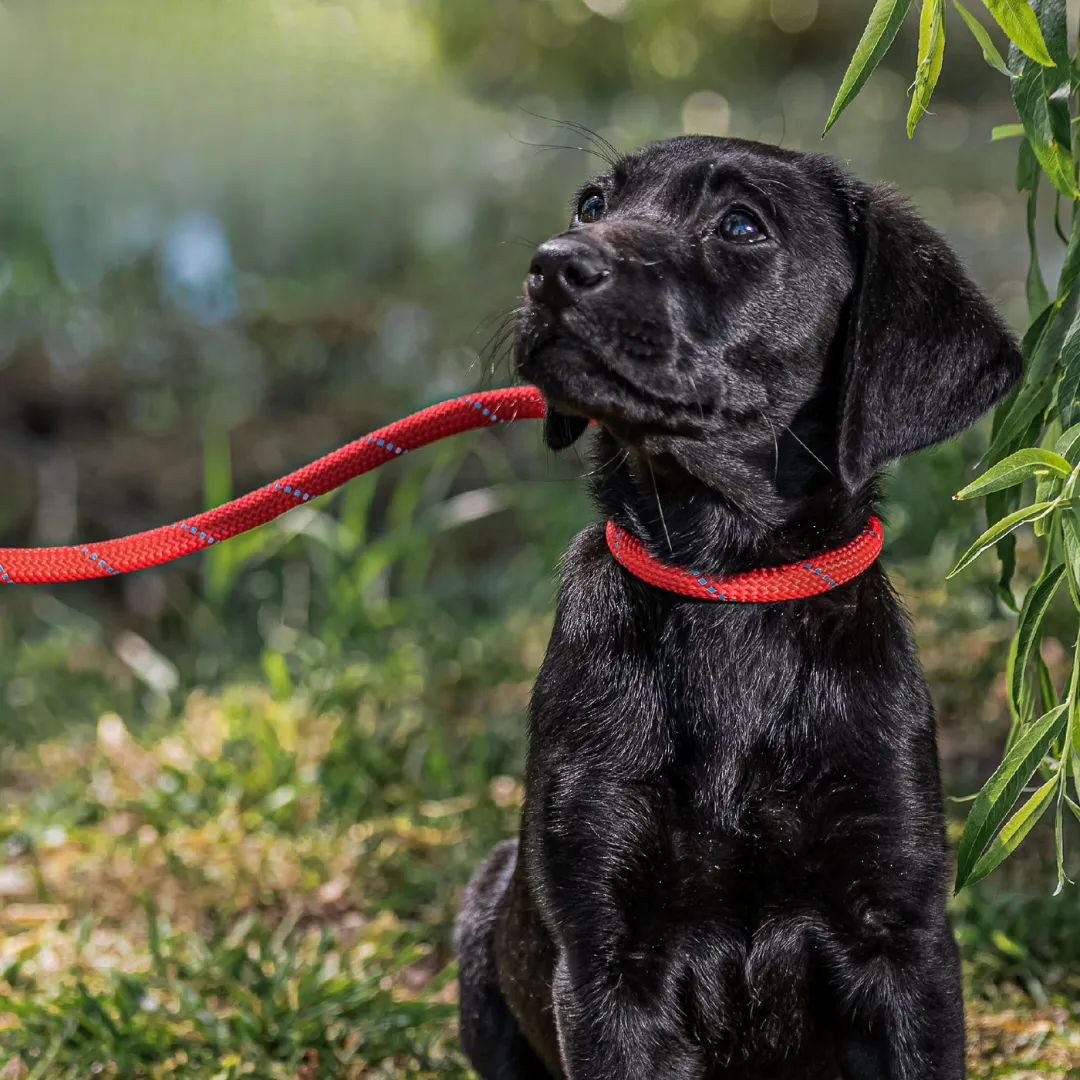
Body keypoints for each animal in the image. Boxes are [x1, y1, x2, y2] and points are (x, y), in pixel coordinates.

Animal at [453, 135, 1019, 1080]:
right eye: (592, 204)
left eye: (740, 226)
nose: (552, 265)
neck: (729, 585)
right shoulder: (608, 964)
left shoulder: (904, 943)